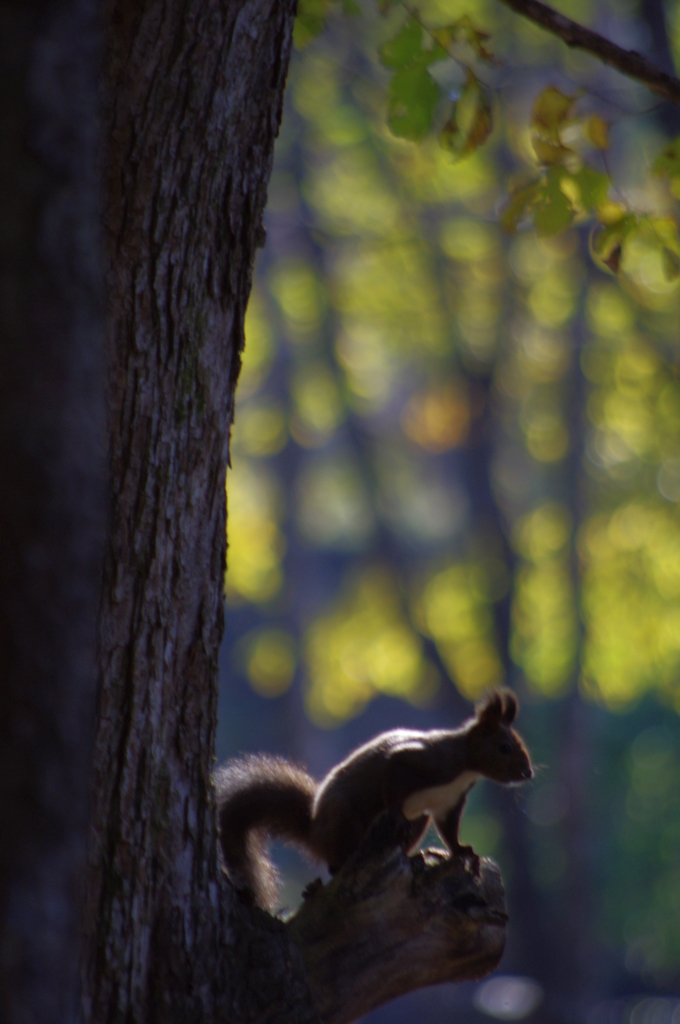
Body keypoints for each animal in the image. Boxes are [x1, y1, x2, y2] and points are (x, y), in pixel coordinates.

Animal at [215, 688, 532, 913]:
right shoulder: (424, 762)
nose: (528, 773)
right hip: (345, 819)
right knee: (336, 862)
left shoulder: (447, 804)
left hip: (419, 818)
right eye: (505, 747)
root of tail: (314, 830)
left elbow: (450, 833)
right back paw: (348, 859)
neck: (466, 766)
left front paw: (463, 852)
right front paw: (395, 814)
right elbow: (393, 774)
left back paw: (412, 856)